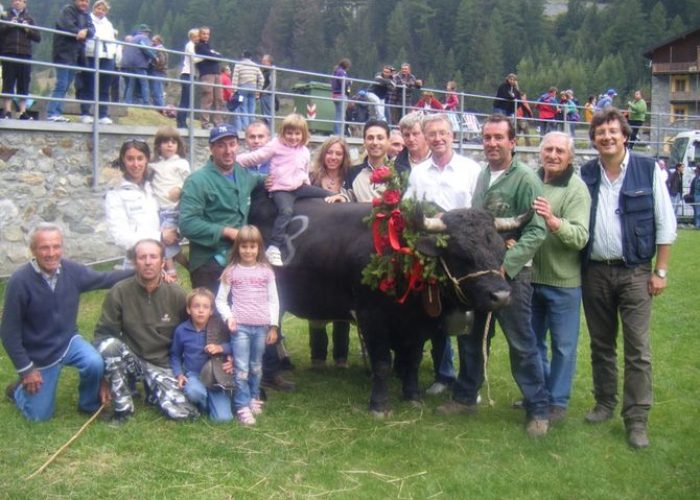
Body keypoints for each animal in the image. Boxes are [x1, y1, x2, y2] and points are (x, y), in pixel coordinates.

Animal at [249, 189, 512, 412]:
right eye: (460, 255)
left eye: (501, 251)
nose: (501, 296)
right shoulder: (371, 317)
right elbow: (382, 362)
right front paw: (378, 404)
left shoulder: (419, 325)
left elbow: (413, 360)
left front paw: (412, 395)